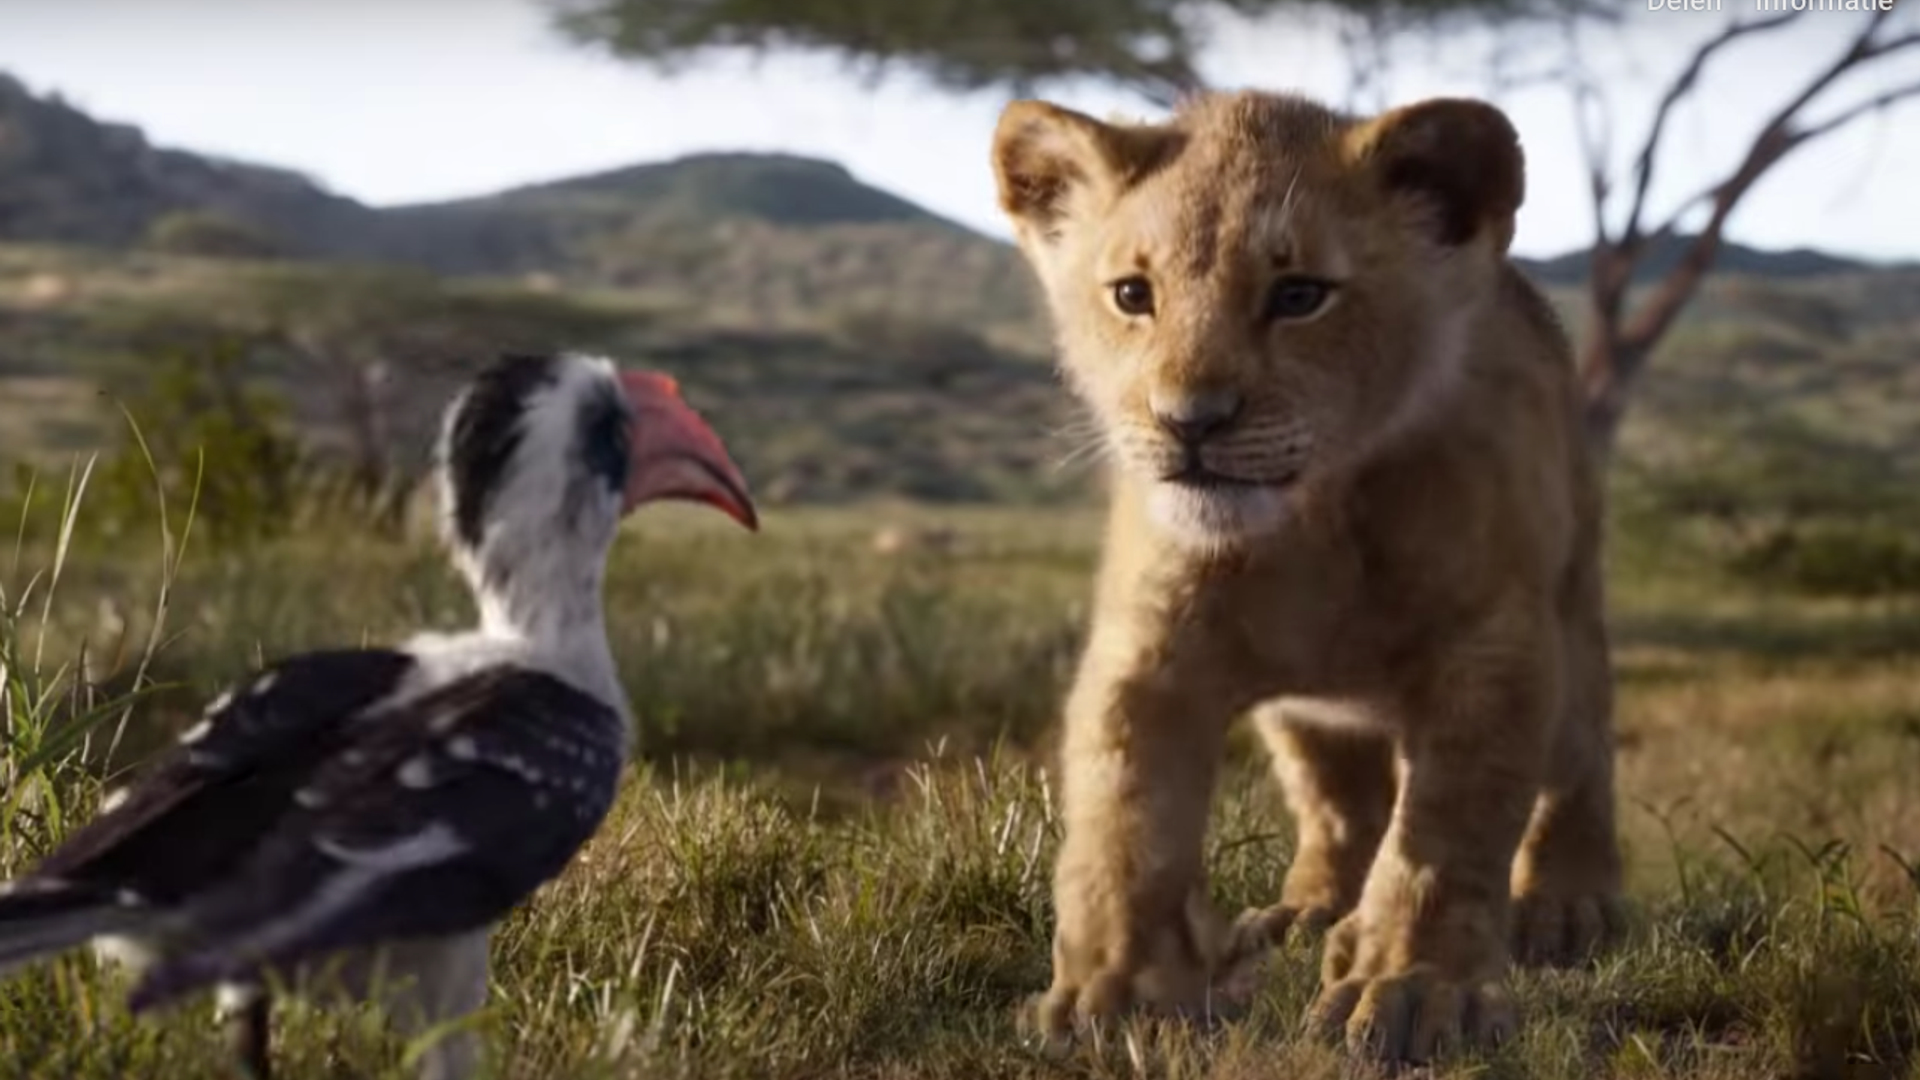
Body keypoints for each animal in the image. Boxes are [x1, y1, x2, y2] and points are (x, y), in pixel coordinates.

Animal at [989, 89, 1625, 1063]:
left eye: (1298, 296)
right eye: (1133, 295)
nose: (1190, 422)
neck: (1312, 523)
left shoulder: (1492, 647)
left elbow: (1445, 837)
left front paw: (1413, 991)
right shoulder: (1150, 651)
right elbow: (1124, 824)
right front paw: (1116, 996)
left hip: (1571, 609)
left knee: (1579, 757)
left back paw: (1564, 905)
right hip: (1303, 714)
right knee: (1338, 801)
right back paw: (1311, 911)